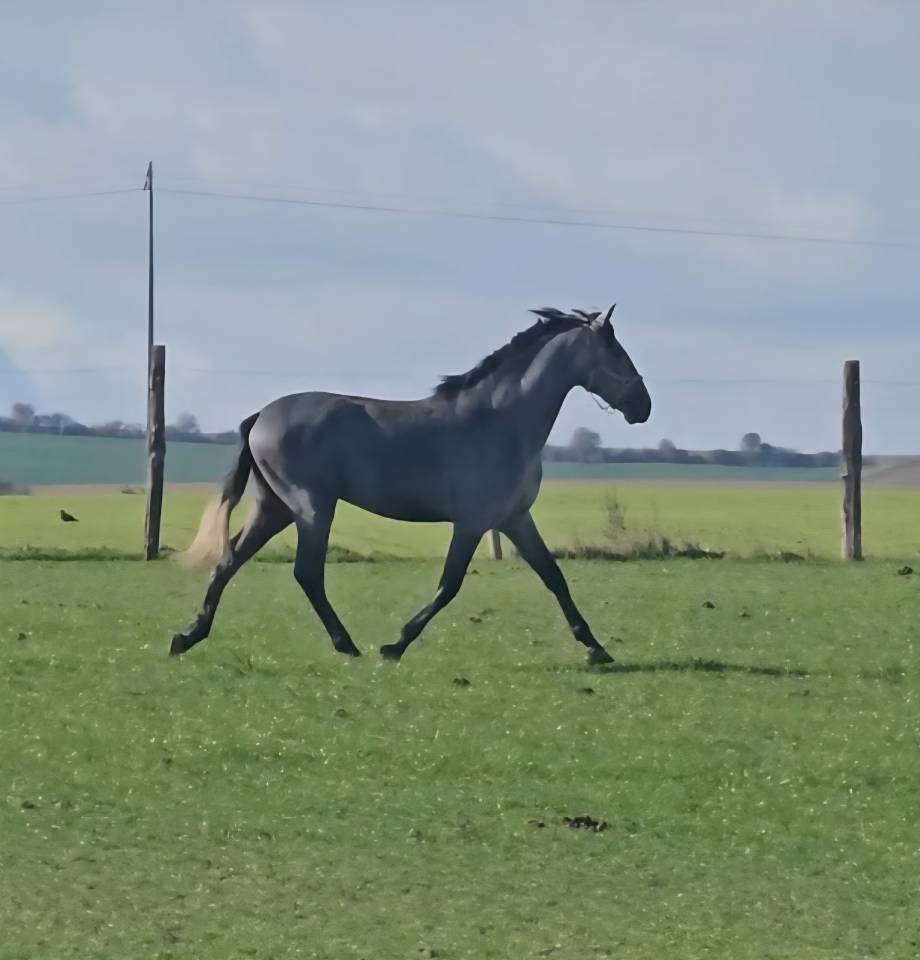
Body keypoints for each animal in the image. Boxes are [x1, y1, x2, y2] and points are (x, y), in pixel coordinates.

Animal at [171, 304, 651, 664]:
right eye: (616, 353)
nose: (643, 406)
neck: (501, 422)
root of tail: (261, 416)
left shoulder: (514, 518)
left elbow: (553, 576)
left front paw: (596, 649)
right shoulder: (473, 522)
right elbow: (449, 584)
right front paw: (395, 644)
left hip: (274, 508)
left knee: (230, 560)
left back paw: (187, 636)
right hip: (311, 508)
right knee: (306, 572)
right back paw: (347, 645)